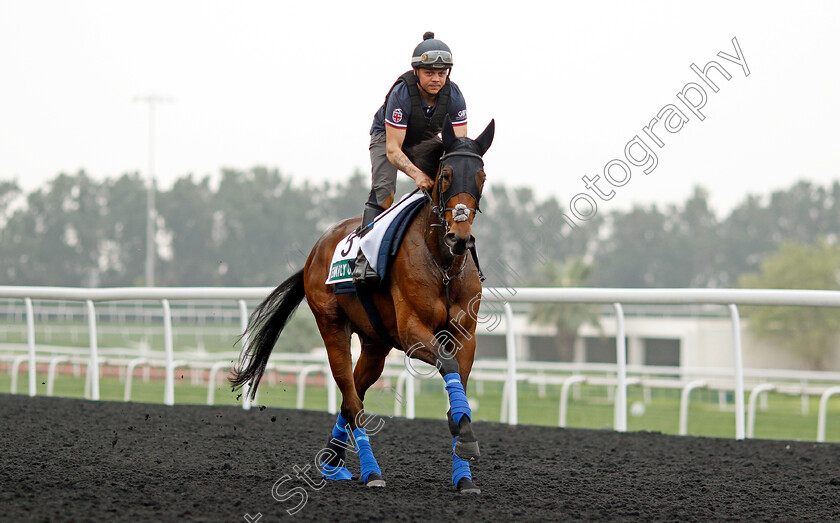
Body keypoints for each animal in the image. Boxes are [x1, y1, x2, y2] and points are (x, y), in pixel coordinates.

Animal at [230, 116, 492, 494]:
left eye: (480, 176)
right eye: (445, 174)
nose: (460, 237)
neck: (443, 265)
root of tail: (315, 251)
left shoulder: (464, 335)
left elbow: (458, 383)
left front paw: (464, 469)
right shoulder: (412, 334)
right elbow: (447, 365)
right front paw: (466, 442)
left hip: (376, 343)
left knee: (352, 392)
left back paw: (332, 463)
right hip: (332, 326)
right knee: (352, 400)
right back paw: (370, 472)